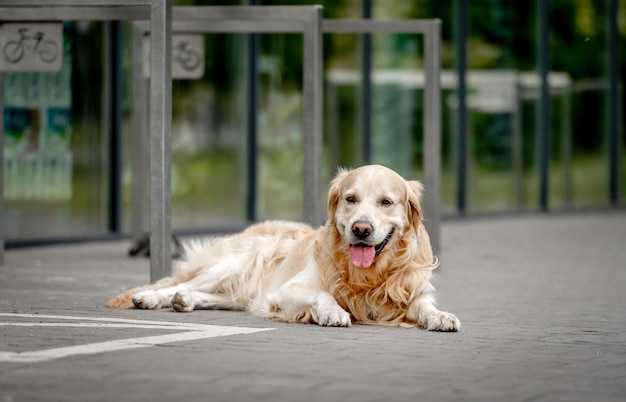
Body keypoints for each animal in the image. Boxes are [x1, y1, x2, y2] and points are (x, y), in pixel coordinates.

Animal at [106, 165, 458, 332]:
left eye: (386, 202)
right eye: (350, 199)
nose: (361, 229)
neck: (369, 277)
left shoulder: (411, 292)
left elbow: (425, 306)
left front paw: (440, 316)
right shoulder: (286, 291)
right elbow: (323, 294)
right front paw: (333, 312)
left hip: (242, 289)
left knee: (208, 294)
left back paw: (185, 301)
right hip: (238, 263)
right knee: (177, 283)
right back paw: (150, 297)